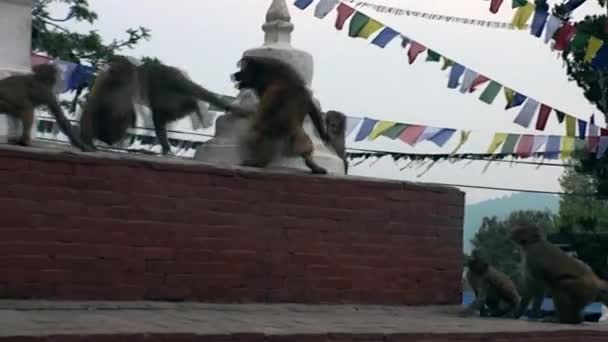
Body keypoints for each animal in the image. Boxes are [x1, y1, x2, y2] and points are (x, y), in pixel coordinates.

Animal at [79, 55, 251, 155]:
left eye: (113, 62)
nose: (107, 66)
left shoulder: (122, 83)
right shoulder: (107, 82)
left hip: (166, 88)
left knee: (162, 111)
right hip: (170, 94)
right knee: (166, 113)